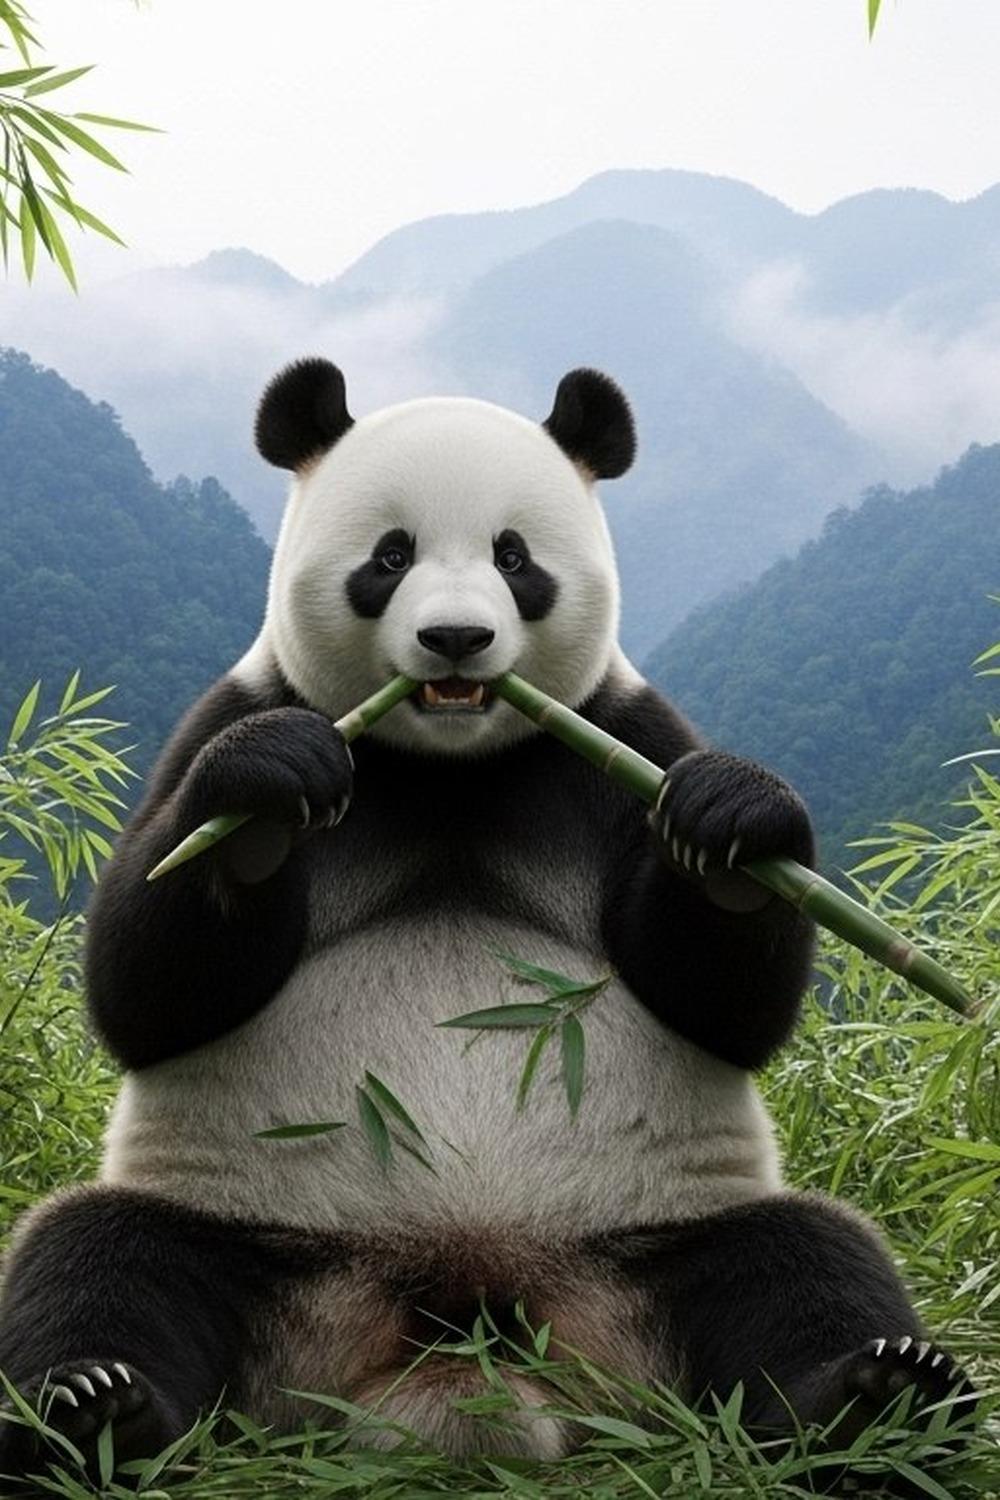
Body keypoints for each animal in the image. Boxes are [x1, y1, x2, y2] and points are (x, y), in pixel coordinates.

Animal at [0, 361, 970, 1479]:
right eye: (390, 557)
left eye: (515, 558)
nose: (456, 639)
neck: (448, 764)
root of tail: (468, 1327)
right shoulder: (230, 715)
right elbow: (144, 986)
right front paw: (269, 785)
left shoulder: (619, 739)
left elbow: (724, 1005)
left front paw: (731, 819)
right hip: (258, 1234)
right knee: (100, 1257)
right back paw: (95, 1407)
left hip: (653, 1237)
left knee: (804, 1260)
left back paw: (880, 1395)